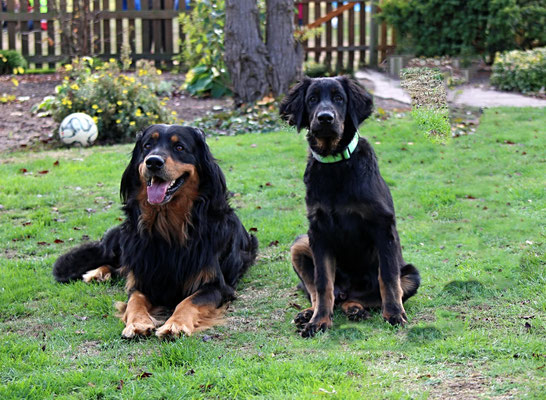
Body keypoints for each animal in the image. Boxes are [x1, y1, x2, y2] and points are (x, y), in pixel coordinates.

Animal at [53, 125, 258, 338]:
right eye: (147, 146)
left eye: (179, 147)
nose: (152, 161)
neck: (169, 228)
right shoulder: (144, 275)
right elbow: (134, 299)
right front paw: (137, 323)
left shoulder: (218, 286)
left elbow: (189, 301)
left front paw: (175, 324)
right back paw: (96, 273)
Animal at [278, 76, 418, 338]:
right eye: (312, 99)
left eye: (339, 98)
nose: (325, 118)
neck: (335, 163)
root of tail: (347, 292)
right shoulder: (318, 232)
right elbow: (323, 283)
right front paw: (319, 321)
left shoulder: (383, 227)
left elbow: (388, 278)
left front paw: (394, 315)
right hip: (299, 244)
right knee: (323, 294)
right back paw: (308, 314)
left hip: (412, 274)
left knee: (366, 297)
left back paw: (355, 309)